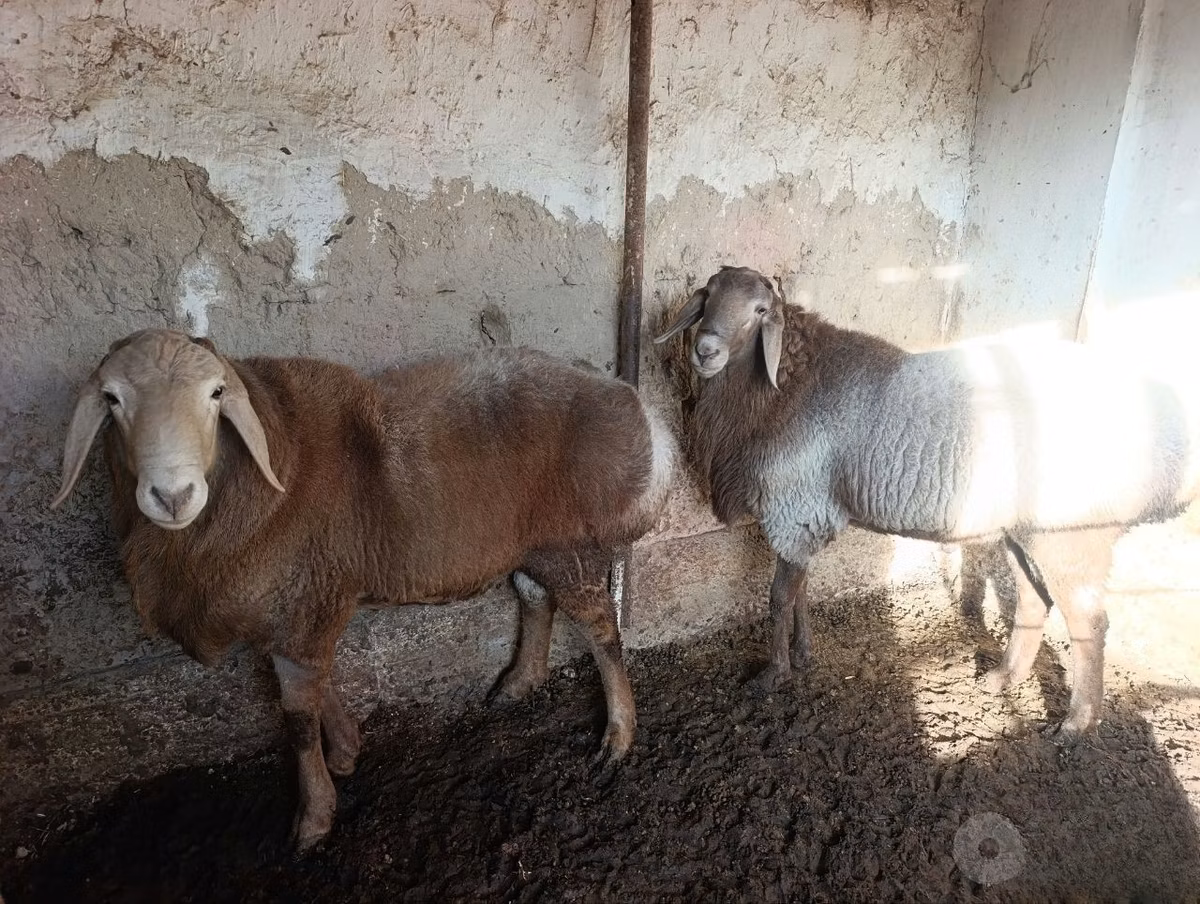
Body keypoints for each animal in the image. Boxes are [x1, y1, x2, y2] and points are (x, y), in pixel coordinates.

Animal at [51, 328, 676, 849]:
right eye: (111, 399)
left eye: (216, 393)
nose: (172, 495)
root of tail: (638, 406)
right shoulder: (298, 605)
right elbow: (312, 686)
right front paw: (347, 751)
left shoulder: (304, 605)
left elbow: (297, 718)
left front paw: (314, 817)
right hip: (531, 541)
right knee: (535, 598)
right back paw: (520, 682)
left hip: (568, 543)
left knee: (601, 631)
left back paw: (618, 735)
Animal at [655, 265, 1200, 742]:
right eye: (708, 295)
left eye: (761, 310)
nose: (705, 350)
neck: (783, 387)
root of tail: (1174, 440)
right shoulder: (806, 510)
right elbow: (801, 590)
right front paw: (804, 655)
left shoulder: (797, 506)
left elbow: (778, 598)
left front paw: (774, 675)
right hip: (1025, 531)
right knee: (1033, 599)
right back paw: (1002, 680)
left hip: (1074, 533)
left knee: (1090, 625)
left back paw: (1075, 726)